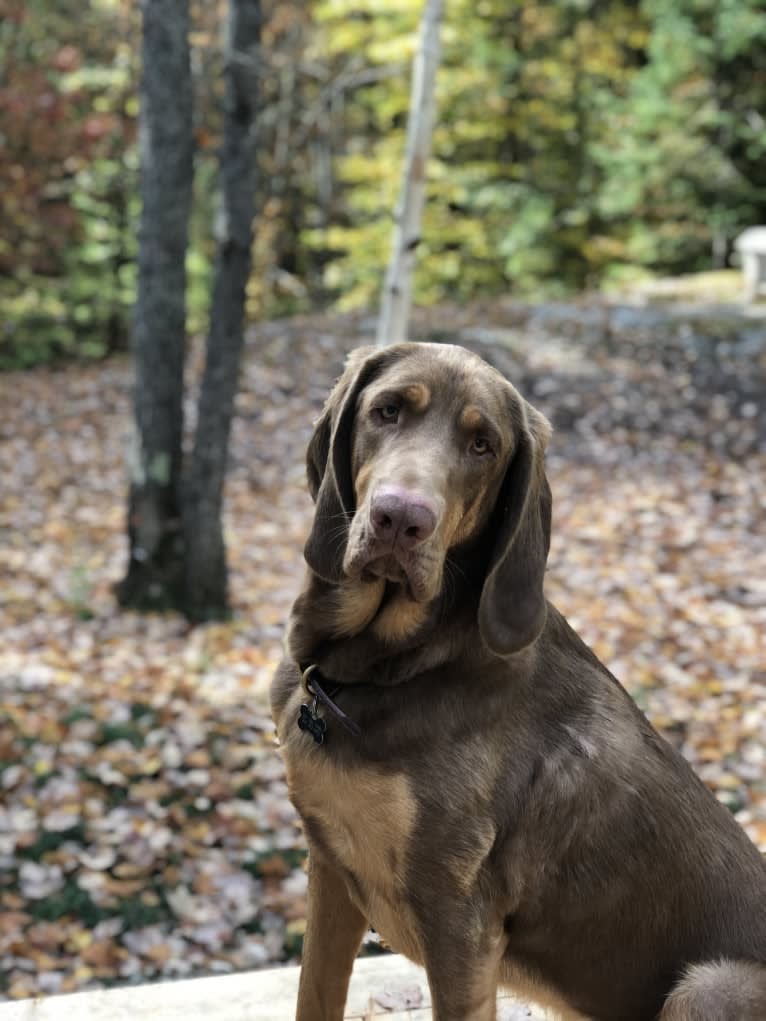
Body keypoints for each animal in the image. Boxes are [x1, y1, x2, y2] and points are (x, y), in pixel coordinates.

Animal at [271, 343, 766, 1021]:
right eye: (387, 410)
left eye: (483, 445)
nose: (401, 519)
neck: (367, 672)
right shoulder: (328, 867)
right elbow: (314, 995)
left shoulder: (458, 919)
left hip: (709, 986)